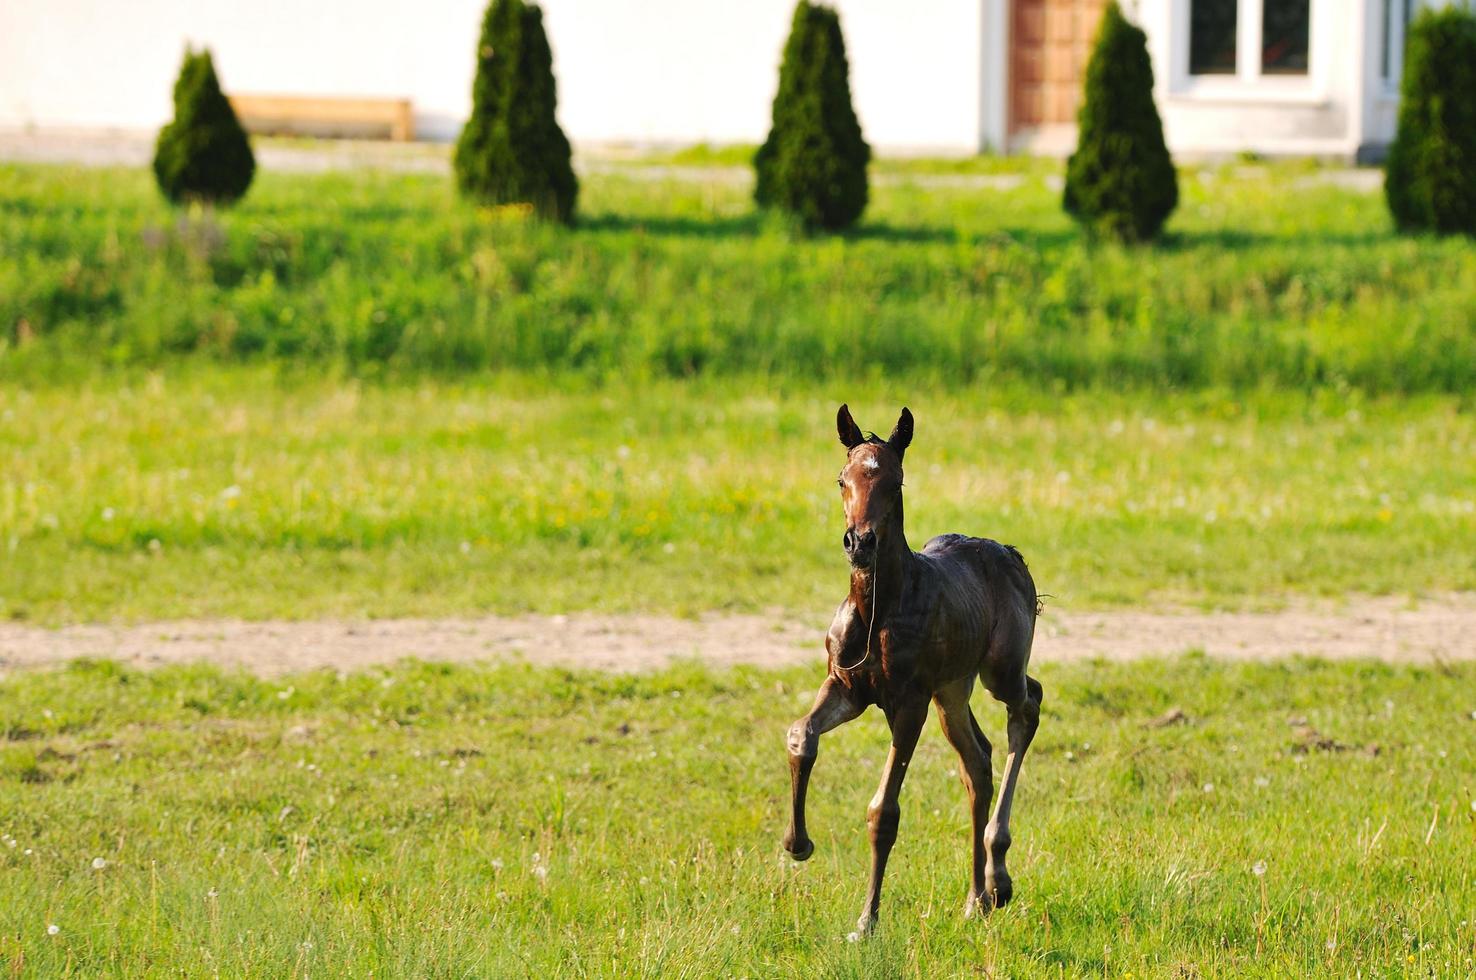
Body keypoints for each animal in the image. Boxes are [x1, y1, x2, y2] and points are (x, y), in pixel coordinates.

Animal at [779, 404, 1045, 932]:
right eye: (842, 479)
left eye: (895, 481)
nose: (859, 542)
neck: (880, 609)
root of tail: (1012, 555)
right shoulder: (846, 686)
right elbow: (801, 734)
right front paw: (798, 844)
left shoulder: (910, 702)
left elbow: (884, 811)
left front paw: (866, 922)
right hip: (952, 691)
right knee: (977, 760)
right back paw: (977, 897)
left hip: (998, 671)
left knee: (1028, 705)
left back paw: (998, 877)